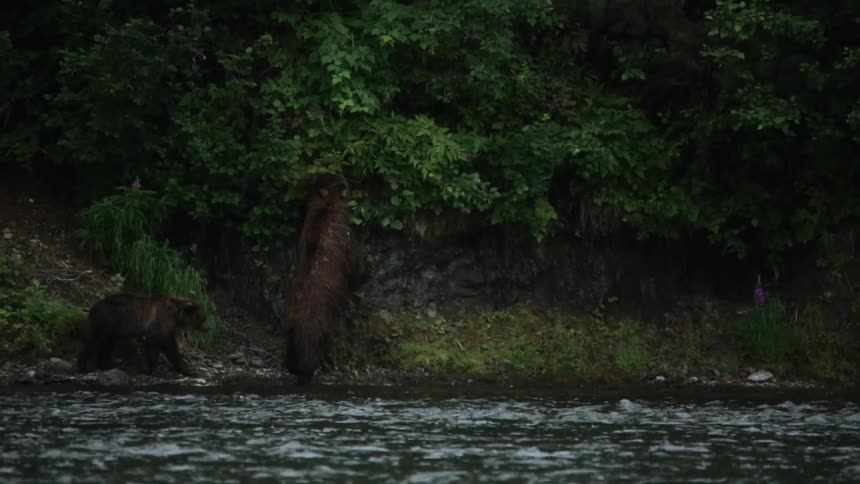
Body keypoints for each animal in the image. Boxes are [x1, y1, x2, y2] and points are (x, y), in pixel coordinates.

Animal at [77, 293, 209, 376]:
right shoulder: (160, 323)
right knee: (96, 341)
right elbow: (159, 345)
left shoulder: (165, 328)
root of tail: (92, 308)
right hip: (107, 321)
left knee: (107, 344)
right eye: (201, 318)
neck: (175, 316)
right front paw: (153, 370)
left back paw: (104, 365)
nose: (208, 328)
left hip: (112, 329)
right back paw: (84, 366)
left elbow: (168, 347)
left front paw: (188, 370)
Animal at [283, 173, 363, 385]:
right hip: (317, 320)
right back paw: (307, 373)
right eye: (343, 183)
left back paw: (292, 367)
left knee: (290, 345)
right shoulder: (344, 238)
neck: (327, 208)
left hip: (291, 322)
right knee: (311, 347)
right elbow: (356, 264)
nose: (344, 176)